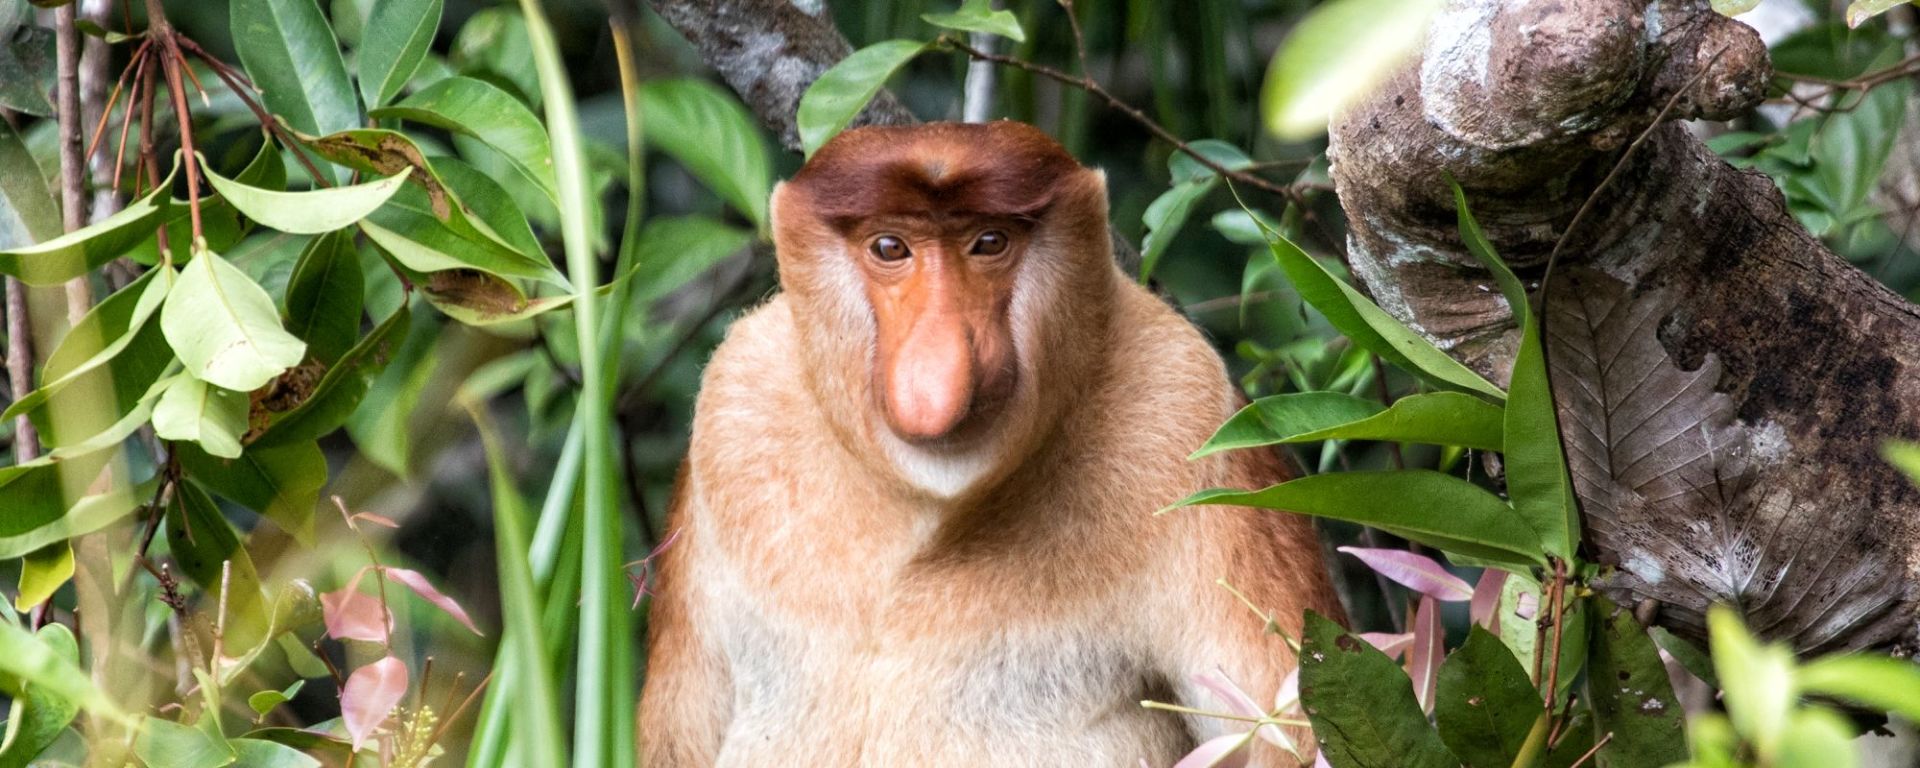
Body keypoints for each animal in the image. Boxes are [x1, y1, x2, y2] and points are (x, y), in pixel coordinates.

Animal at [638, 121, 1343, 767]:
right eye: (890, 247)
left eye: (989, 243)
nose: (940, 357)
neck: (928, 500)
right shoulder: (734, 398)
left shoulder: (1185, 406)